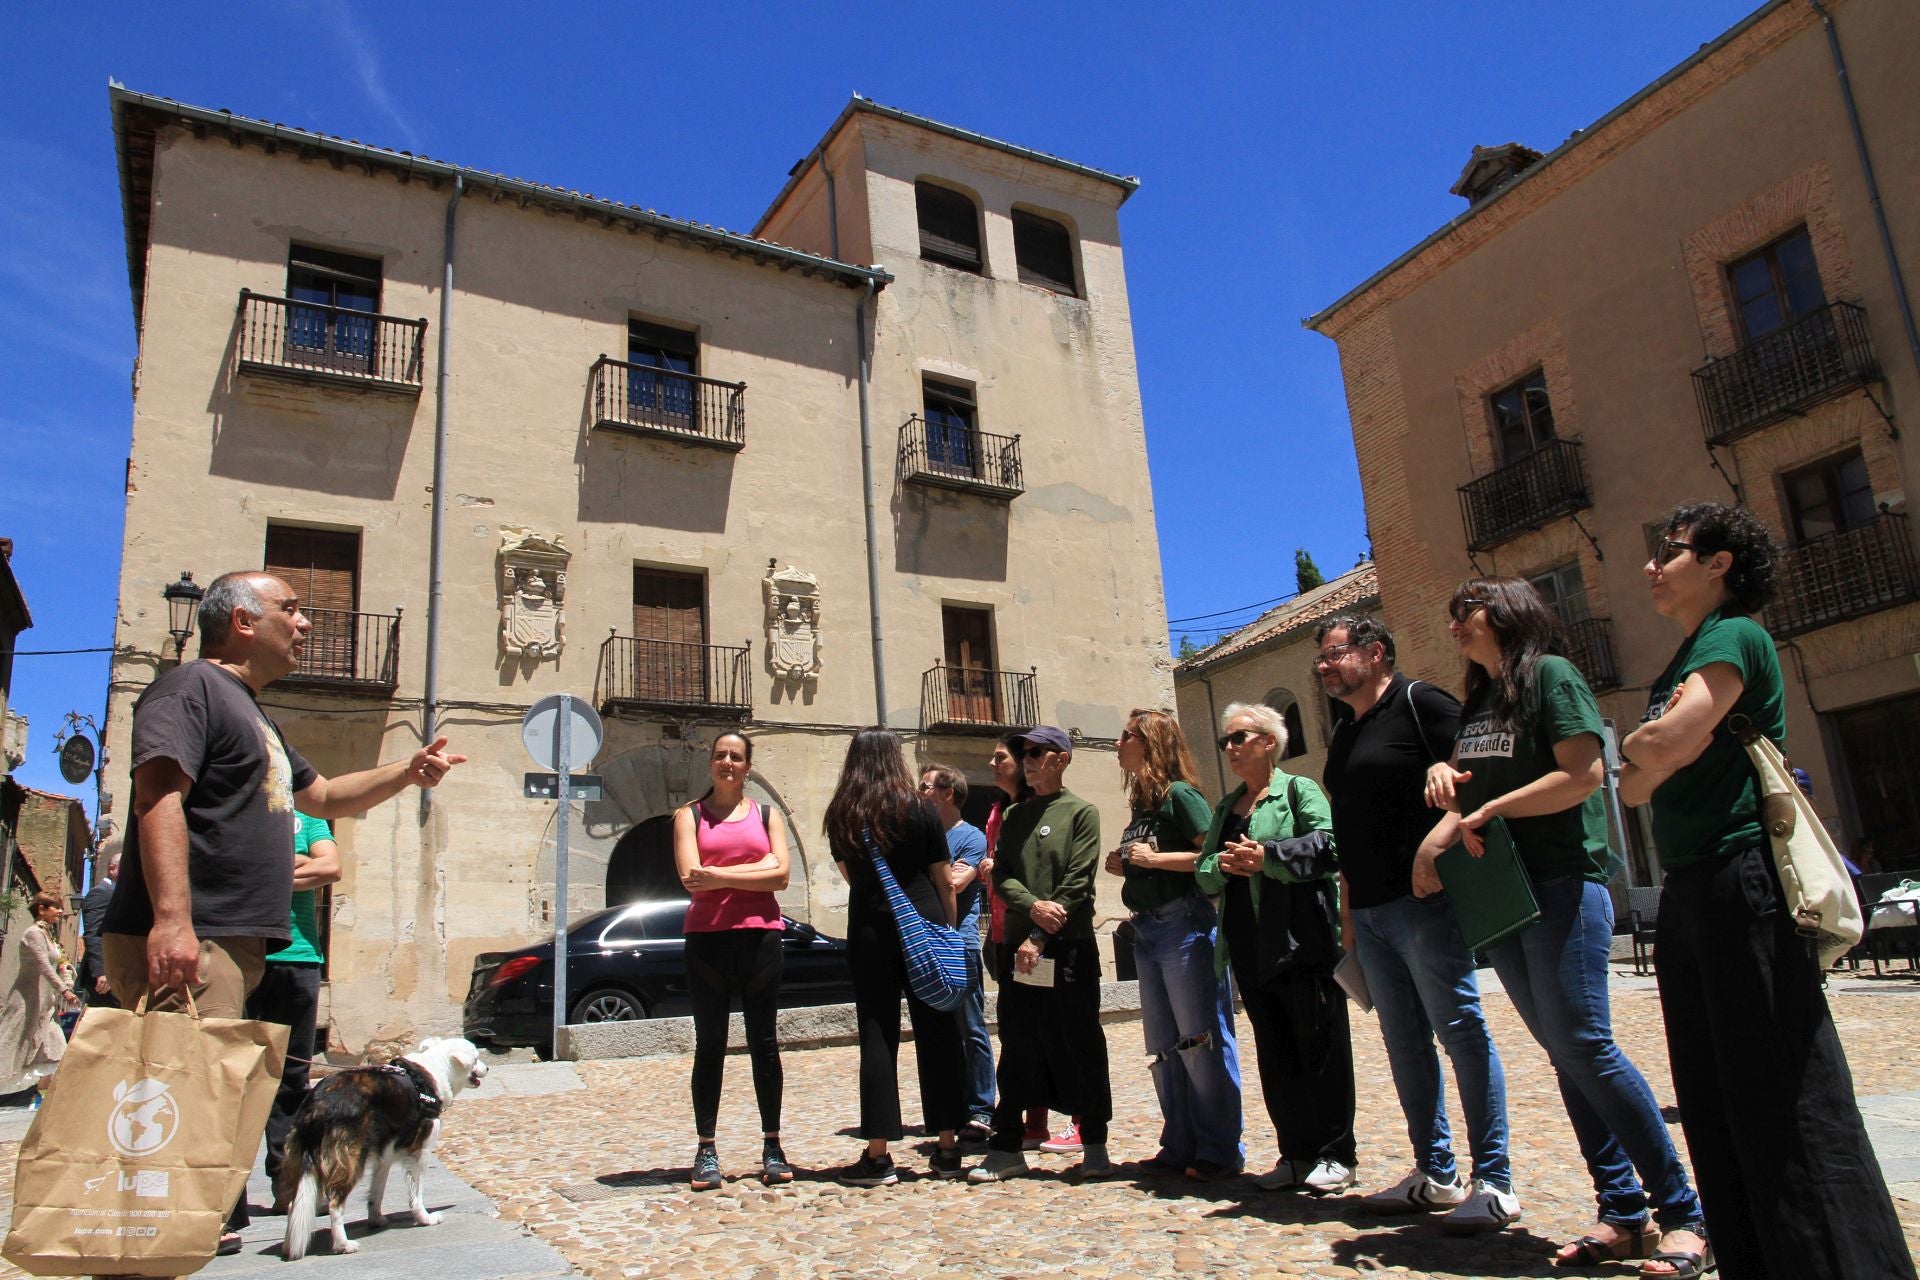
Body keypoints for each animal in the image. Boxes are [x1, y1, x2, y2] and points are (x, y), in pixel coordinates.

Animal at [278, 1036, 487, 1258]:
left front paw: (376, 1219)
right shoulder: (420, 1152)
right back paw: (343, 1245)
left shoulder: (384, 1155)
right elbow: (417, 1193)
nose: (488, 1068)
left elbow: (377, 1193)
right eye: (476, 1059)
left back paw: (288, 1246)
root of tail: (316, 1106)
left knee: (293, 1204)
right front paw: (424, 1218)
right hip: (350, 1159)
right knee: (335, 1205)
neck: (435, 1068)